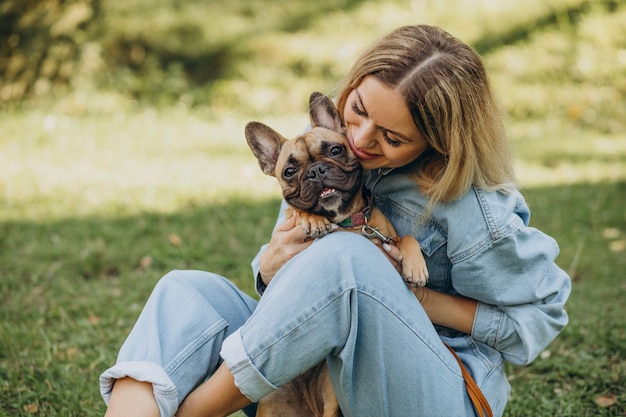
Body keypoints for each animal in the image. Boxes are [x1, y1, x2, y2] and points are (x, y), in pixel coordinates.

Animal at [244, 92, 428, 414]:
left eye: (335, 150)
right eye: (289, 171)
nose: (316, 171)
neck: (347, 221)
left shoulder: (390, 236)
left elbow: (407, 238)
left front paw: (416, 266)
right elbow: (297, 211)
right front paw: (312, 220)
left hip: (330, 392)